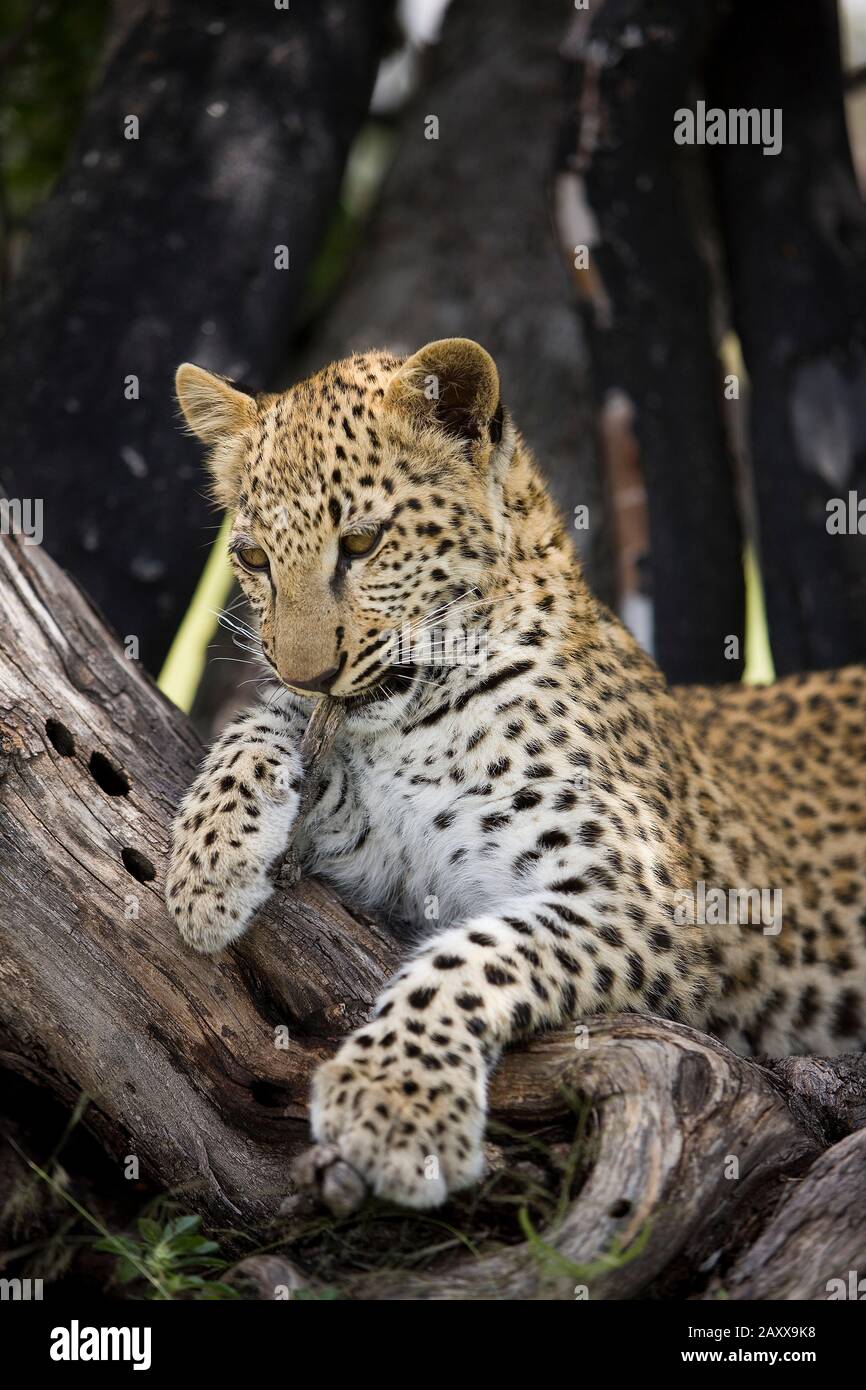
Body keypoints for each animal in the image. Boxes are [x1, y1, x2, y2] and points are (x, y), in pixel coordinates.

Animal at [167, 341, 866, 1212]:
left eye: (361, 543)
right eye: (253, 558)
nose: (307, 672)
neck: (412, 723)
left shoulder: (642, 899)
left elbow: (471, 958)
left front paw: (394, 1105)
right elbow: (261, 723)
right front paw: (205, 869)